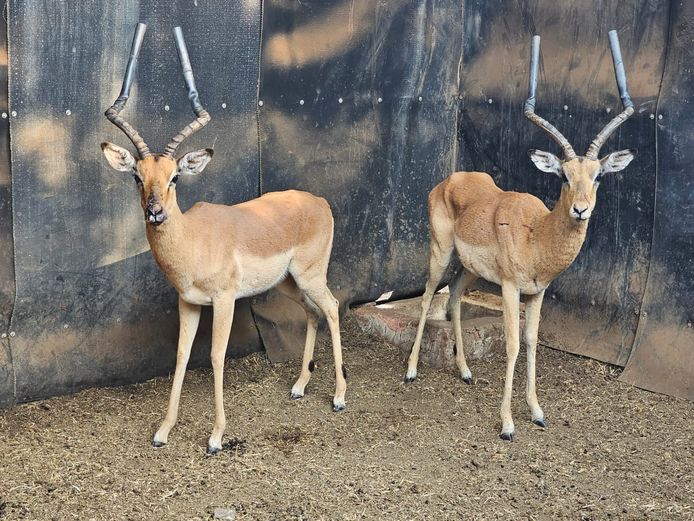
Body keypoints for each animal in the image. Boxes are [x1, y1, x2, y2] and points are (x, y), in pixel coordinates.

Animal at [101, 24, 346, 454]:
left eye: (175, 177)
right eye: (136, 176)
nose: (155, 211)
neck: (193, 240)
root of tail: (318, 201)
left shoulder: (225, 300)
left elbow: (216, 356)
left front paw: (216, 436)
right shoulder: (188, 302)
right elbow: (182, 356)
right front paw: (163, 431)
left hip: (310, 275)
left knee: (332, 307)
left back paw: (338, 397)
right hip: (288, 283)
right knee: (313, 312)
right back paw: (299, 387)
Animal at [405, 31, 636, 440]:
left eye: (597, 176)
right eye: (563, 175)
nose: (581, 210)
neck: (537, 235)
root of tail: (451, 178)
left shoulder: (538, 291)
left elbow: (531, 342)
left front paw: (538, 411)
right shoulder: (511, 288)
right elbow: (512, 345)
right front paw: (508, 424)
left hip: (470, 269)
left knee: (454, 299)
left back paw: (465, 372)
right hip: (440, 251)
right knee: (429, 295)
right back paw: (412, 370)